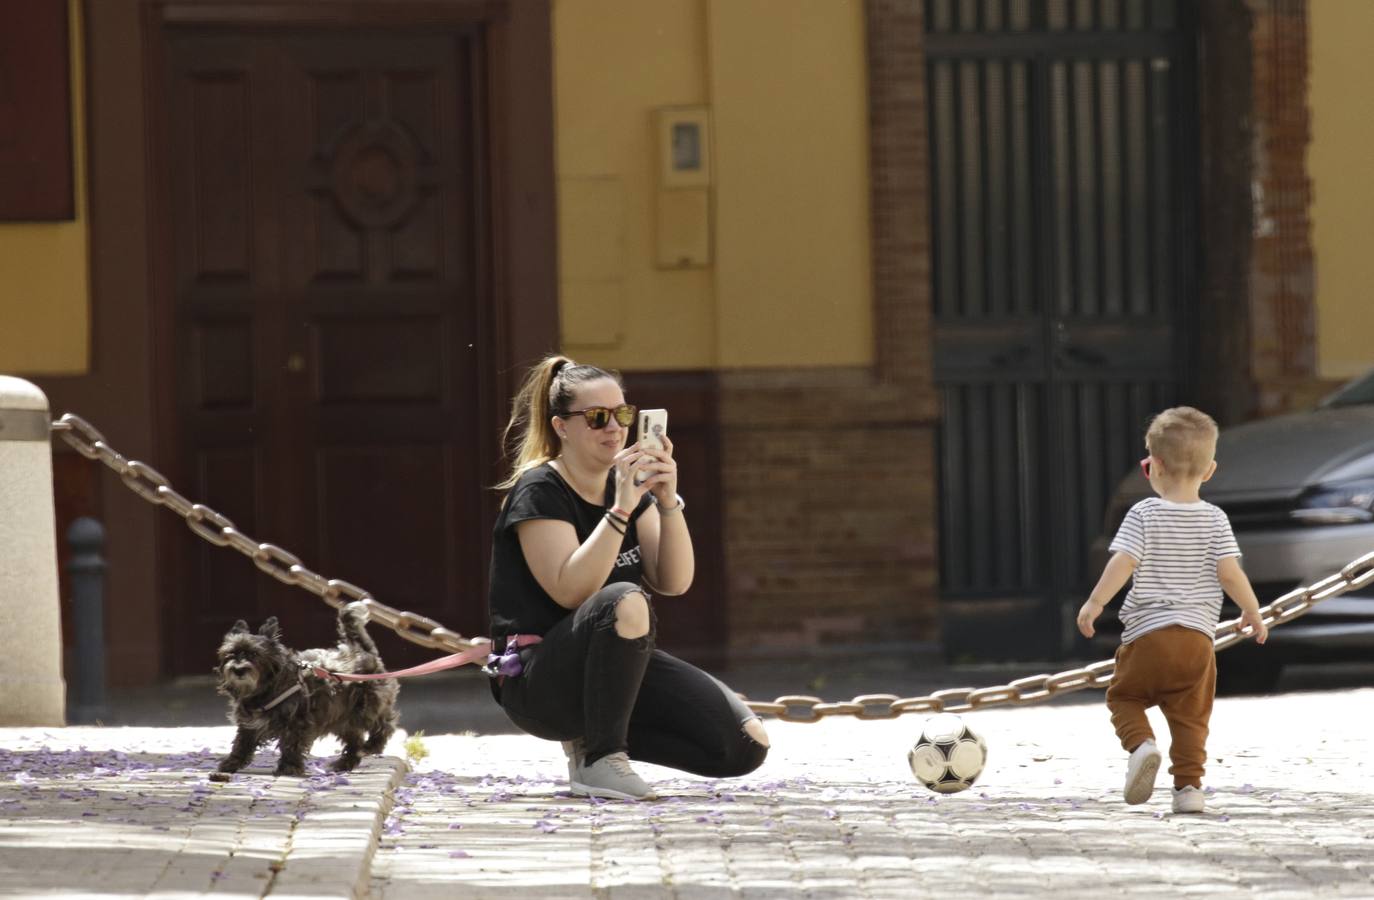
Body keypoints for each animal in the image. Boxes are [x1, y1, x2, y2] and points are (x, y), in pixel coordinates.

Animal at [208, 601, 401, 780]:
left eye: (254, 654)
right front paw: (230, 764)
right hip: (343, 719)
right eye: (230, 654)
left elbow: (291, 745)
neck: (264, 690)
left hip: (367, 708)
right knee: (355, 741)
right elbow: (242, 744)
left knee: (385, 725)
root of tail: (364, 652)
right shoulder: (249, 724)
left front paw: (289, 768)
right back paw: (343, 764)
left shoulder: (297, 723)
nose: (238, 669)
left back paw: (371, 746)